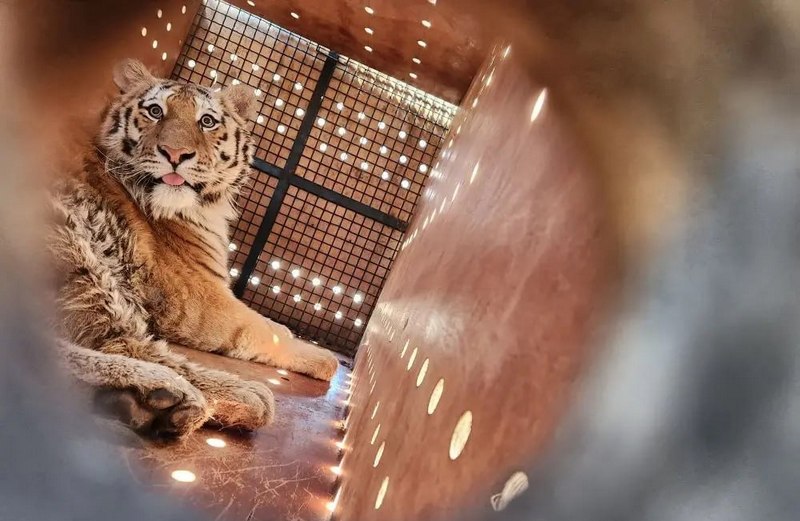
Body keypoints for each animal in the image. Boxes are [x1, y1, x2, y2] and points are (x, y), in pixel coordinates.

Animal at [48, 59, 339, 438]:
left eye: (207, 121)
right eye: (155, 111)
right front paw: (324, 358)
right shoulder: (196, 296)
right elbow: (264, 328)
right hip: (78, 248)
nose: (175, 154)